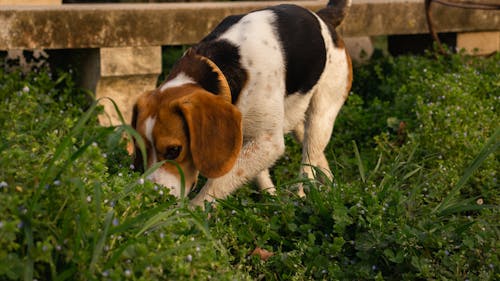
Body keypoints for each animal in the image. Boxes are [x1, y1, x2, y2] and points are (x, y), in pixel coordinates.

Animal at [132, 0, 352, 206]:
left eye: (174, 151)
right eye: (142, 150)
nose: (152, 199)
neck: (220, 68)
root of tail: (323, 17)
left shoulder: (267, 142)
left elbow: (220, 181)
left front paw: (191, 212)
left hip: (321, 115)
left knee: (308, 163)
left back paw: (301, 197)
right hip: (295, 118)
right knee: (316, 156)